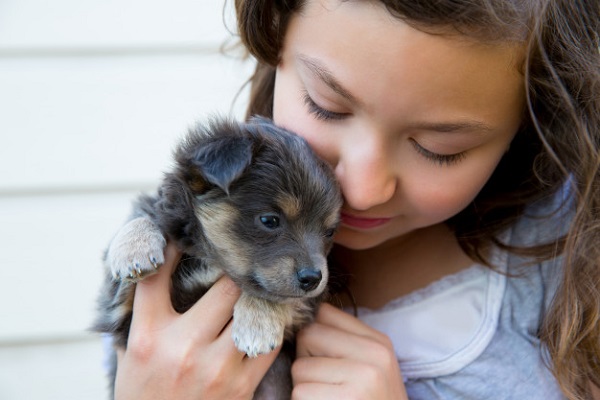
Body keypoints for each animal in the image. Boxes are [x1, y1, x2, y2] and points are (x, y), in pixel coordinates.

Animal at [94, 117, 342, 398]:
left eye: (329, 231)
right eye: (269, 220)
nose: (313, 278)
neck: (211, 259)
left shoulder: (308, 303)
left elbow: (271, 293)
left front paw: (257, 325)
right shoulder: (118, 311)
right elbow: (144, 213)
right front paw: (133, 250)